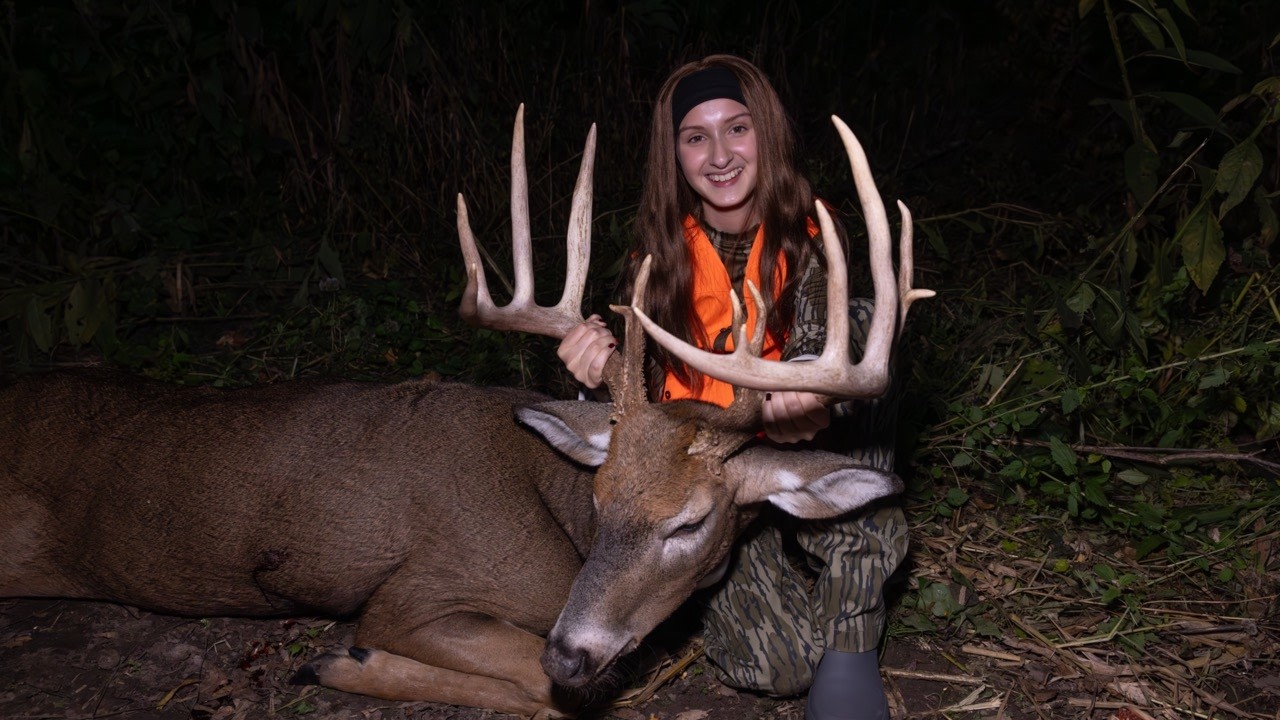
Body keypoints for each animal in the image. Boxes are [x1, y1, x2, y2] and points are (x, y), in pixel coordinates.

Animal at [0, 105, 931, 719]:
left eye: (691, 522)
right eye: (599, 501)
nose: (571, 646)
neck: (555, 520)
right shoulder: (416, 591)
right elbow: (544, 690)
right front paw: (342, 661)